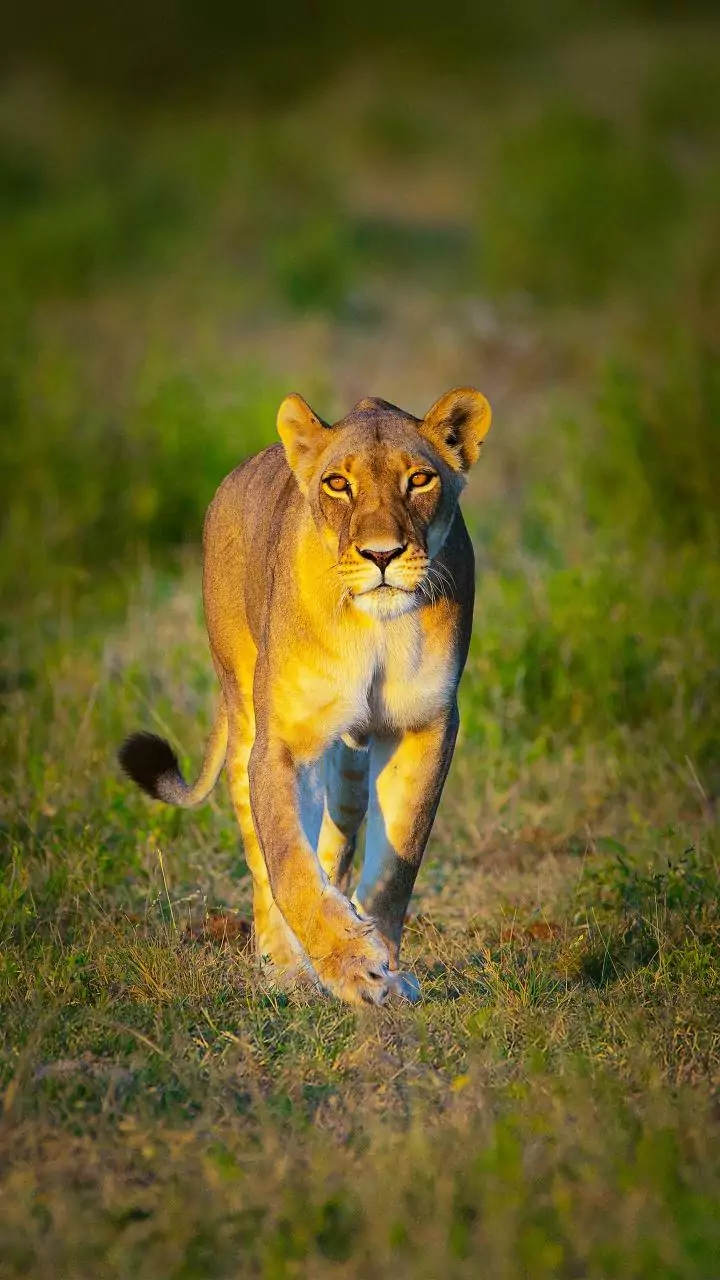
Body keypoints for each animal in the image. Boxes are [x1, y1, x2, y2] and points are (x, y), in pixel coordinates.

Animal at [118, 387, 492, 1005]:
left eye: (419, 479)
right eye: (338, 484)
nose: (382, 555)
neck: (375, 627)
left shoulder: (426, 724)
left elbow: (396, 864)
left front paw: (383, 965)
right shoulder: (285, 743)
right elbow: (288, 864)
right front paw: (350, 965)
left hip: (349, 763)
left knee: (335, 841)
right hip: (244, 709)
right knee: (261, 851)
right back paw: (286, 964)